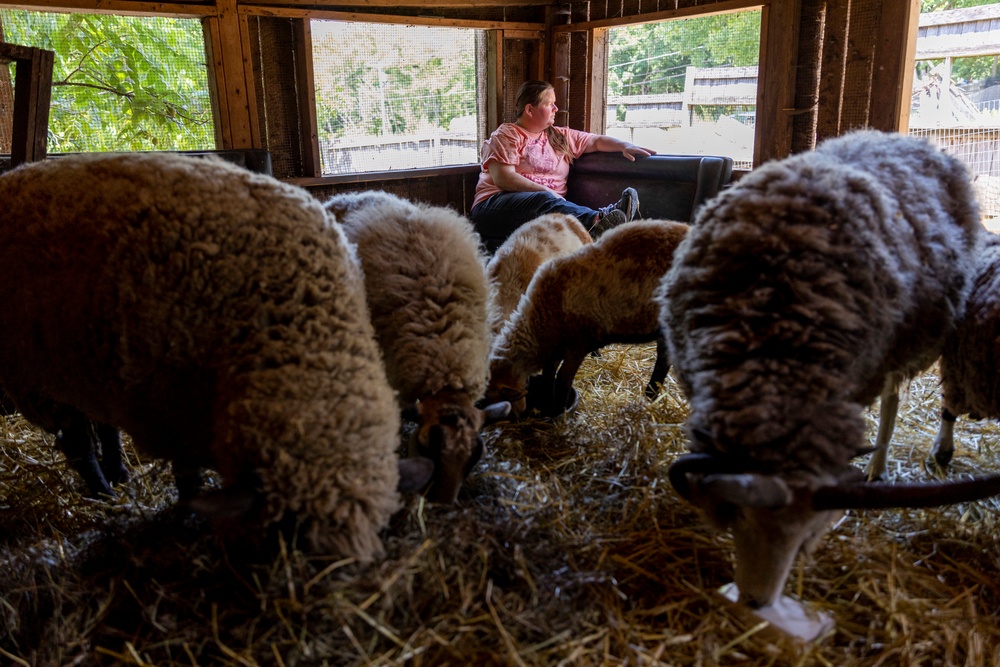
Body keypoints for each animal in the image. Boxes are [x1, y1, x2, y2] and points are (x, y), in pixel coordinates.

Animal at [0, 153, 428, 560]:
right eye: (291, 533)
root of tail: (15, 174)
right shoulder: (170, 411)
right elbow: (186, 474)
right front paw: (187, 511)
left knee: (102, 425)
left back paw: (119, 472)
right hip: (37, 376)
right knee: (77, 443)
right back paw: (104, 492)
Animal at [482, 219, 688, 418]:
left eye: (495, 398)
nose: (517, 415)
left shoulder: (577, 344)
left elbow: (563, 379)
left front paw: (559, 410)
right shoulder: (555, 348)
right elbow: (549, 376)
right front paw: (547, 402)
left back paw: (650, 395)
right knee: (664, 359)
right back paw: (650, 395)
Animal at [660, 129, 980, 612]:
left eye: (809, 533)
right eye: (740, 516)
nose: (757, 601)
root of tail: (902, 138)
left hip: (902, 346)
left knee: (895, 400)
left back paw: (883, 464)